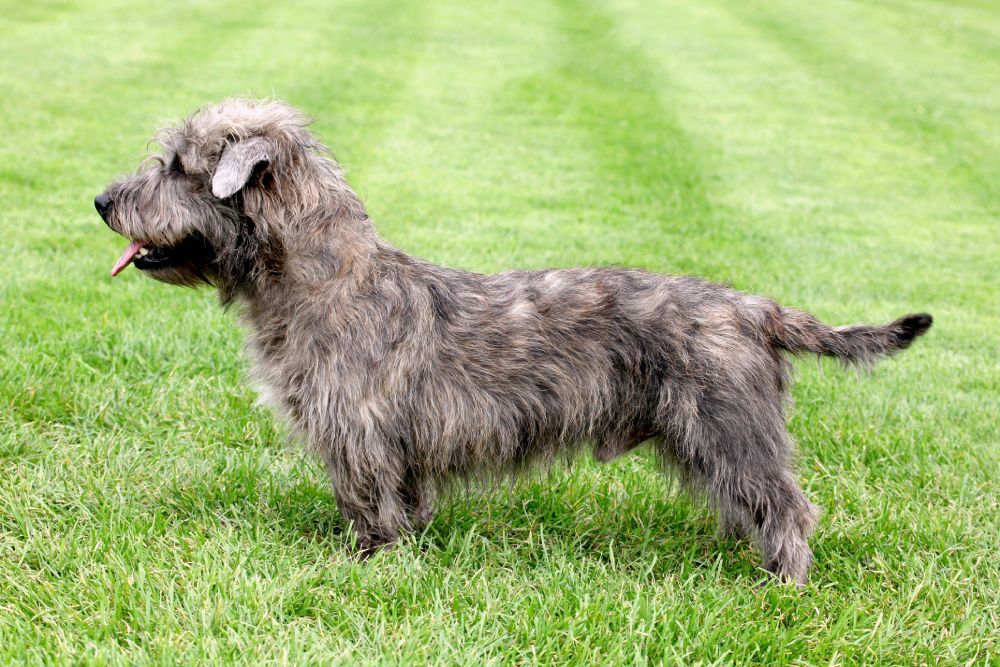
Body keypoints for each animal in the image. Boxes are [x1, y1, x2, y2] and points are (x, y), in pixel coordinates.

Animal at [97, 99, 932, 584]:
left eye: (178, 166)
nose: (102, 200)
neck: (322, 279)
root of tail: (753, 306)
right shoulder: (395, 444)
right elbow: (404, 500)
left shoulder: (359, 434)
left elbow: (368, 503)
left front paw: (368, 567)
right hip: (710, 437)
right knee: (751, 500)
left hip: (728, 427)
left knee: (788, 504)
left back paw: (783, 582)